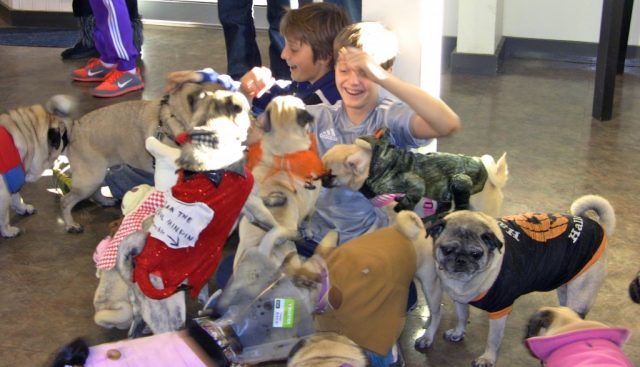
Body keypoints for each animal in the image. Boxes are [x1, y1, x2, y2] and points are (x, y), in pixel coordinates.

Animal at [428, 194, 616, 366]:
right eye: (447, 250)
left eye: (476, 254)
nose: (461, 260)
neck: (465, 282)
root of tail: (600, 227)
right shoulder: (460, 300)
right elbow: (462, 317)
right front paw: (458, 332)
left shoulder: (499, 310)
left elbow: (493, 339)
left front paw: (487, 358)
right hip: (565, 288)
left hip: (580, 295)